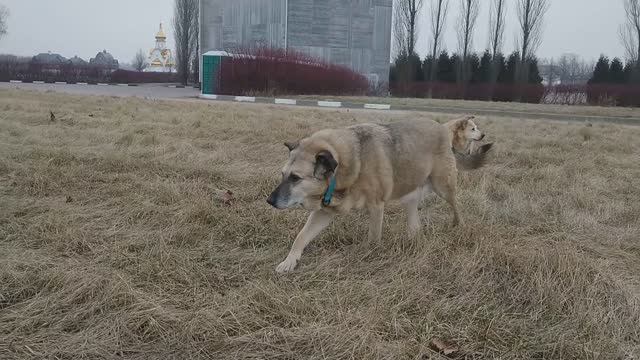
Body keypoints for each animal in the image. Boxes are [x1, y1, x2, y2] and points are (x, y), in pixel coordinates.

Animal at [268, 116, 492, 272]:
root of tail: (443, 129)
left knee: (456, 206)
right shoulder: (324, 212)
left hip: (443, 187)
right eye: (283, 175)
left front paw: (369, 257)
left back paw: (458, 227)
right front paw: (289, 261)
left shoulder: (376, 206)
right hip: (410, 193)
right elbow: (301, 236)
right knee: (415, 222)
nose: (269, 201)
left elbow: (373, 237)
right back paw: (413, 239)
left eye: (295, 178)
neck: (347, 165)